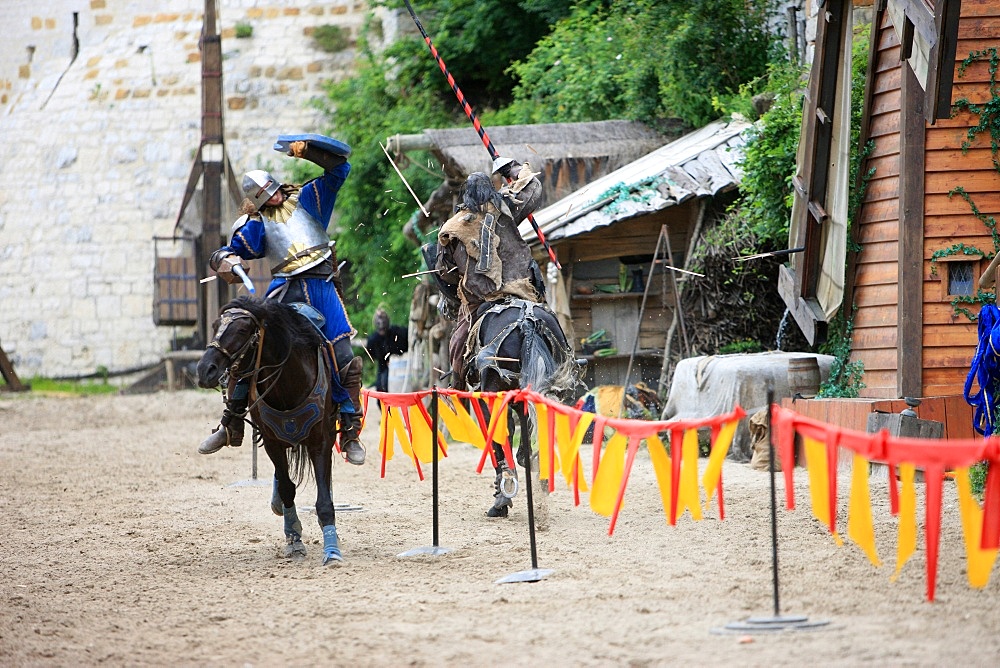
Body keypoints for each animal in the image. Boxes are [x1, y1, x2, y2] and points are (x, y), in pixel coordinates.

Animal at [199, 298, 348, 564]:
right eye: (215, 325)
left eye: (241, 330)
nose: (205, 369)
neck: (289, 382)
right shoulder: (272, 443)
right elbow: (288, 488)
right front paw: (295, 540)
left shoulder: (320, 441)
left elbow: (324, 500)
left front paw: (332, 550)